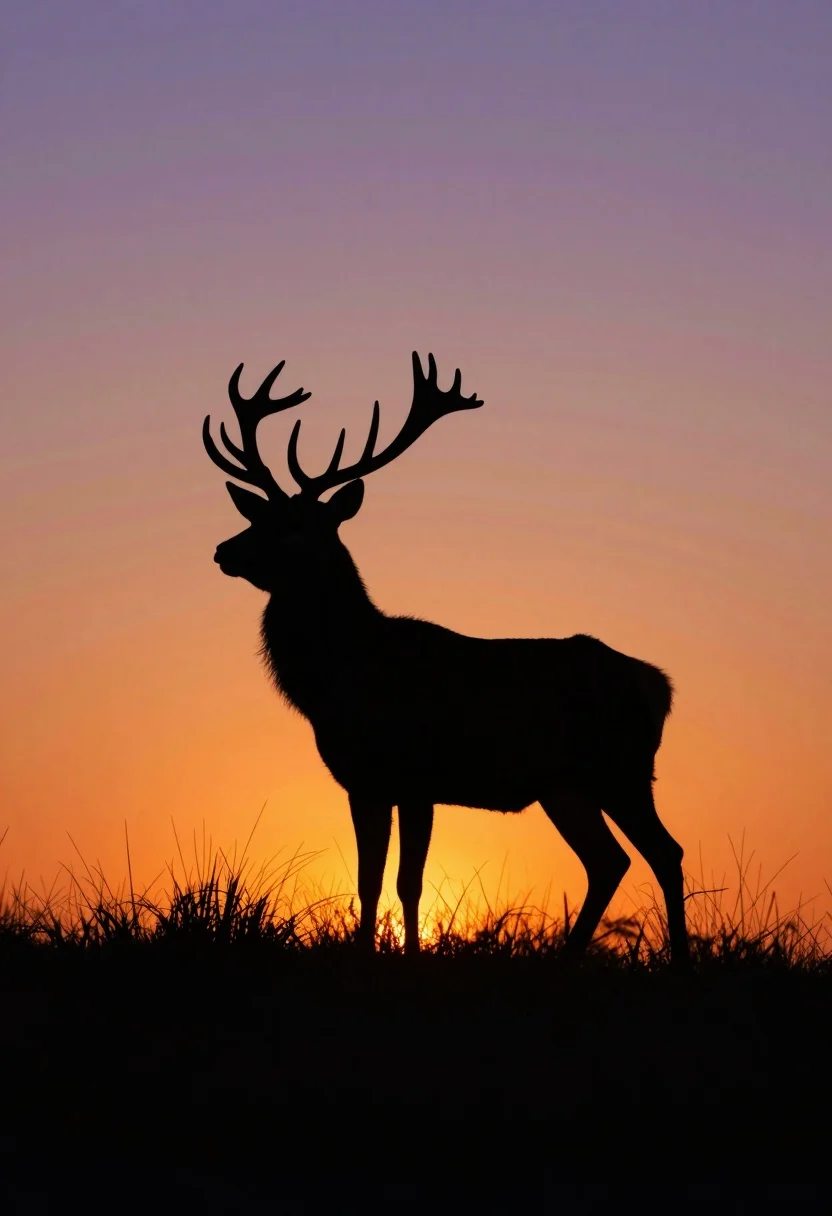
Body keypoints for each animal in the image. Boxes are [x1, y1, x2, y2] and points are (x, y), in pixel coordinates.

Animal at [203, 352, 690, 966]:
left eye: (294, 527)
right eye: (257, 516)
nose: (224, 550)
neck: (341, 678)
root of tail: (657, 684)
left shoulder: (415, 776)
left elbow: (407, 881)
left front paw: (409, 957)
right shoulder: (364, 781)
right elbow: (369, 880)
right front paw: (369, 955)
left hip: (620, 767)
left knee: (665, 852)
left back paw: (679, 960)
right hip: (567, 785)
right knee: (610, 860)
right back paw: (568, 956)